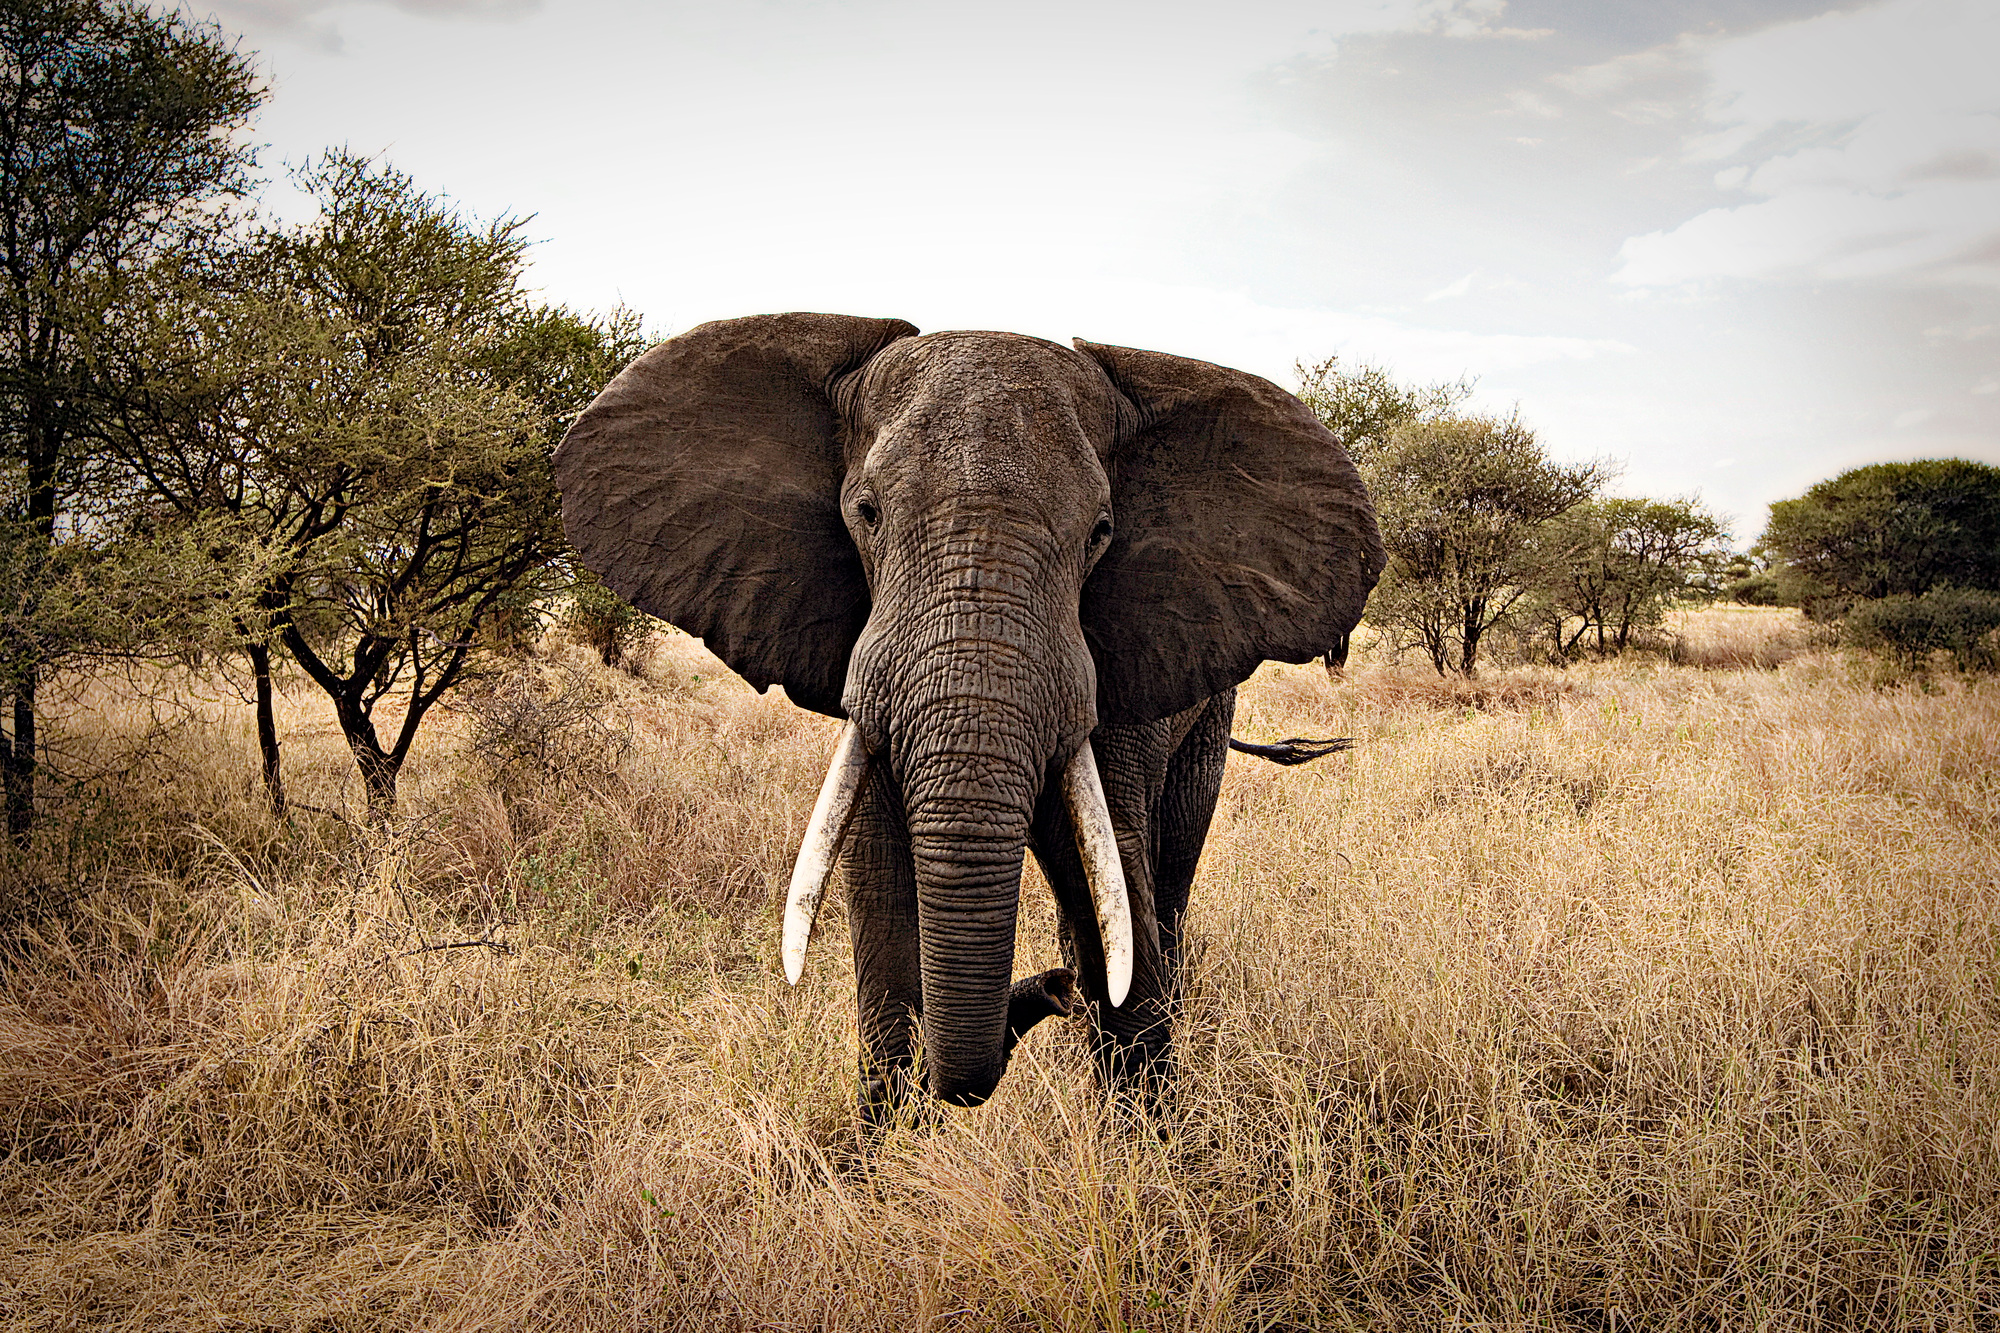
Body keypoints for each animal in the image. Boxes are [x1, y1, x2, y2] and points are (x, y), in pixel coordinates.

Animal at [553, 313, 1383, 1120]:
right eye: (866, 513)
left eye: (1101, 532)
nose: (1050, 989)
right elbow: (883, 893)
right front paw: (884, 1147)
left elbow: (1120, 893)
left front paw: (1147, 1146)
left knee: (1166, 879)